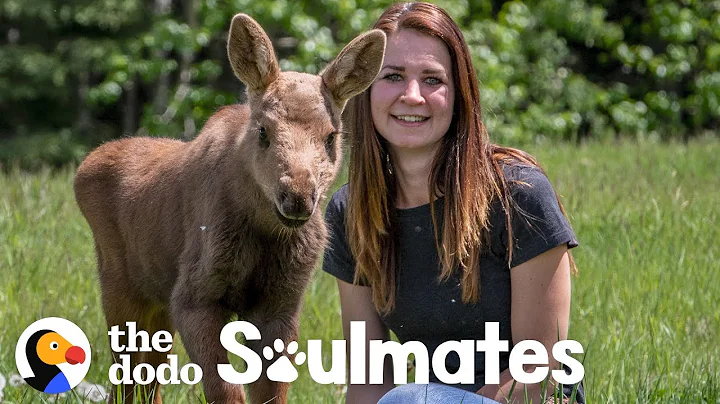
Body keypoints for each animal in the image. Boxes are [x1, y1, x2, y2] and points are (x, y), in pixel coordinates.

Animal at [73, 13, 385, 404]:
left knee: (148, 377)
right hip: (120, 284)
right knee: (127, 375)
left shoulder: (281, 301)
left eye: (331, 136)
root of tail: (82, 168)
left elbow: (271, 390)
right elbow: (225, 389)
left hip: (156, 298)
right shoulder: (194, 294)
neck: (264, 231)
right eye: (263, 130)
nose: (297, 196)